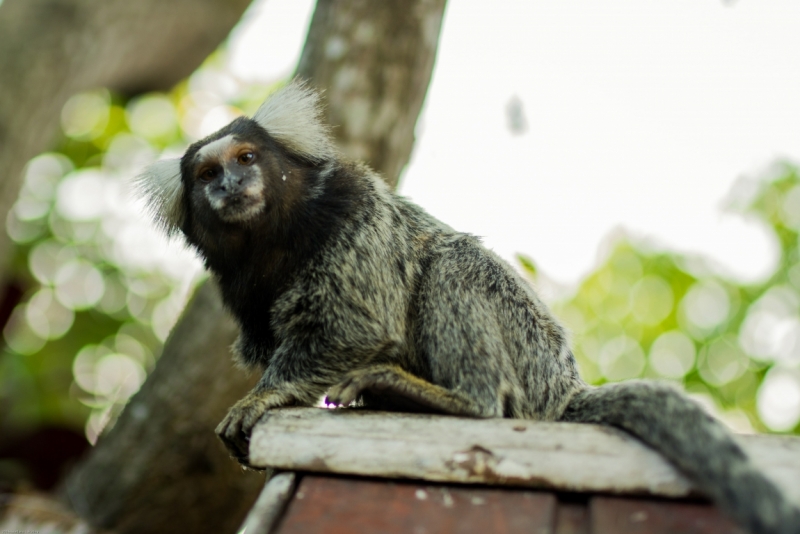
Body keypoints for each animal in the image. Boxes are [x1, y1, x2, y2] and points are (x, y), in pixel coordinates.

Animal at [139, 80, 800, 534]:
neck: (273, 239)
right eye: (208, 173)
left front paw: (266, 397)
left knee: (453, 270)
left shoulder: (352, 210)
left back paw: (452, 399)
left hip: (527, 348)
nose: (230, 185)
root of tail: (563, 388)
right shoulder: (238, 287)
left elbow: (357, 322)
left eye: (247, 159)